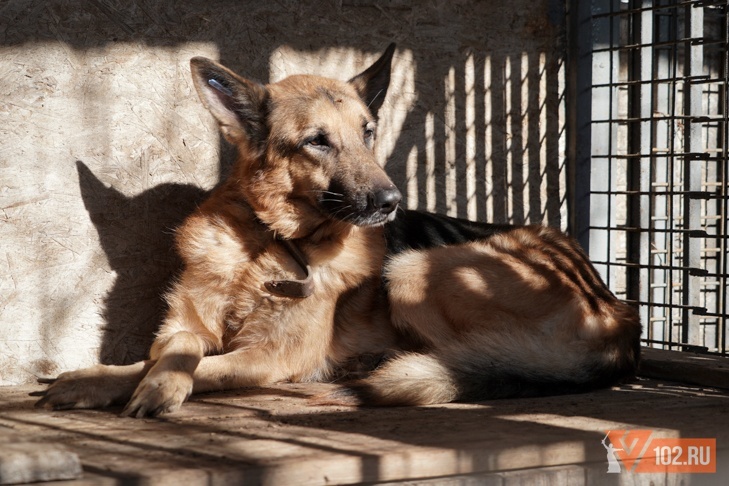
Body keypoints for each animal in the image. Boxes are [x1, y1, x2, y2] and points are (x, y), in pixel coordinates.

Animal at [37, 44, 640, 418]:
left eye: (368, 132)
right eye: (317, 141)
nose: (393, 204)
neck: (265, 245)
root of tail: (621, 315)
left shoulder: (272, 357)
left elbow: (206, 366)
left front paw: (149, 386)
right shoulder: (184, 325)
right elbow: (170, 350)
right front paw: (102, 379)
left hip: (411, 267)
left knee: (470, 360)